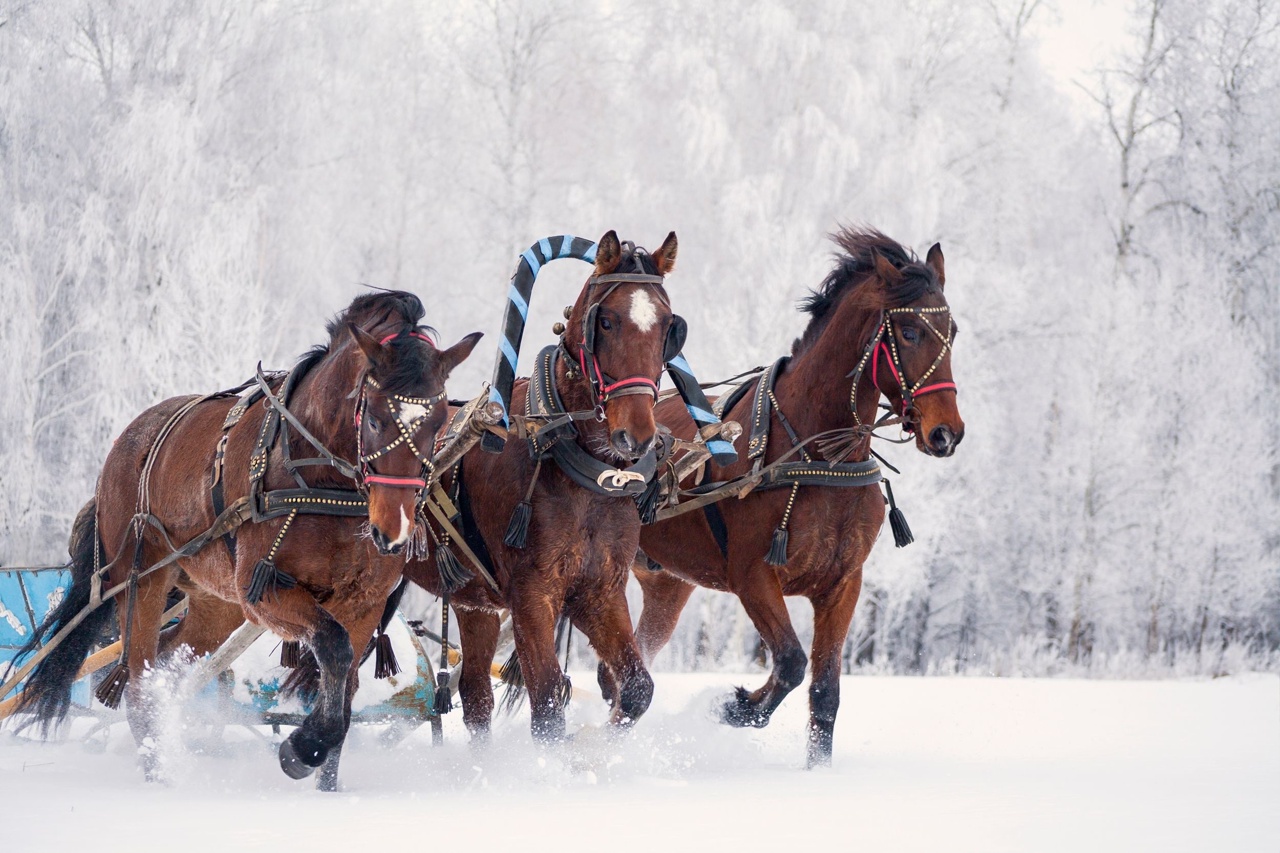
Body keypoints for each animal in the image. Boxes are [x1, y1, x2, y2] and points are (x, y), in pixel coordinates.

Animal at [12, 289, 481, 778]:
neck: (318, 475)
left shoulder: (363, 601)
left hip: (215, 603)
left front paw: (321, 761)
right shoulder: (263, 591)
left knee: (168, 661)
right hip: (141, 580)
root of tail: (125, 442)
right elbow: (333, 648)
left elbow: (345, 688)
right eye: (373, 419)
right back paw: (160, 773)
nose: (394, 530)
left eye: (439, 423)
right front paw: (304, 747)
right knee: (139, 682)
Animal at [401, 229, 680, 742]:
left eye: (670, 325)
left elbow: (636, 689)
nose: (636, 437)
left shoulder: (600, 591)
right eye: (605, 321)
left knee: (475, 695)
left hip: (473, 601)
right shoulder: (531, 595)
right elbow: (548, 705)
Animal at [616, 225, 962, 763]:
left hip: (666, 585)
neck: (818, 458)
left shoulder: (843, 584)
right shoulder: (753, 577)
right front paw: (736, 706)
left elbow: (824, 692)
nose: (947, 432)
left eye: (954, 331)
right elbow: (792, 663)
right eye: (908, 332)